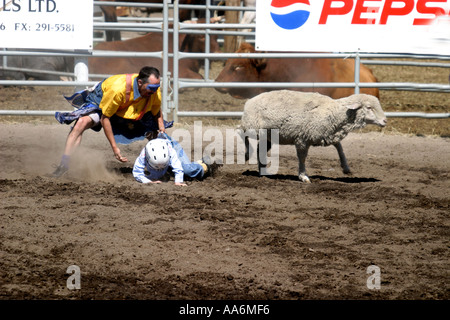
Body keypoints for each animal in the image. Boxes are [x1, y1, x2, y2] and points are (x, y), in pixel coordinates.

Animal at [239, 90, 386, 184]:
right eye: (369, 107)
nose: (385, 121)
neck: (333, 111)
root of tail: (249, 101)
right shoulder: (302, 139)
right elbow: (302, 158)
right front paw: (303, 176)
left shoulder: (327, 134)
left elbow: (339, 147)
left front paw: (346, 167)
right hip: (252, 126)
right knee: (240, 132)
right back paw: (247, 154)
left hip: (268, 135)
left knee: (260, 150)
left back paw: (262, 170)